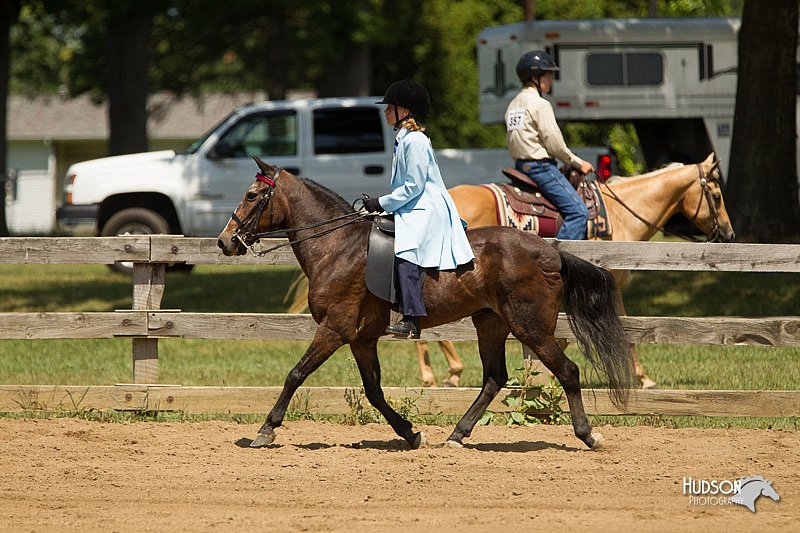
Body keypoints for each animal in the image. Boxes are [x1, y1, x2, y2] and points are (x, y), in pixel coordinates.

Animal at [216, 157, 636, 448]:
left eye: (252, 196)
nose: (225, 241)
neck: (338, 247)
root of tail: (549, 252)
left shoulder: (333, 330)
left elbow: (295, 374)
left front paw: (266, 430)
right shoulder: (361, 339)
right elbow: (373, 391)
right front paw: (409, 432)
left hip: (530, 328)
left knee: (567, 372)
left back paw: (588, 435)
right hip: (491, 325)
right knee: (494, 378)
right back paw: (457, 434)